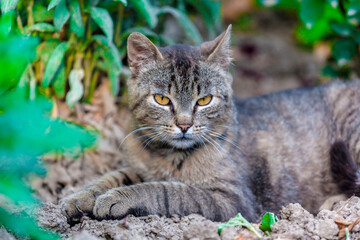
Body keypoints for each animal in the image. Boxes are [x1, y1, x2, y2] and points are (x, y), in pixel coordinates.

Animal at [60, 25, 360, 224]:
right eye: (161, 99)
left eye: (204, 100)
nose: (184, 125)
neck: (169, 157)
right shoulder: (139, 167)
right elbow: (113, 176)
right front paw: (79, 196)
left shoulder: (231, 200)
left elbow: (167, 191)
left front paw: (118, 197)